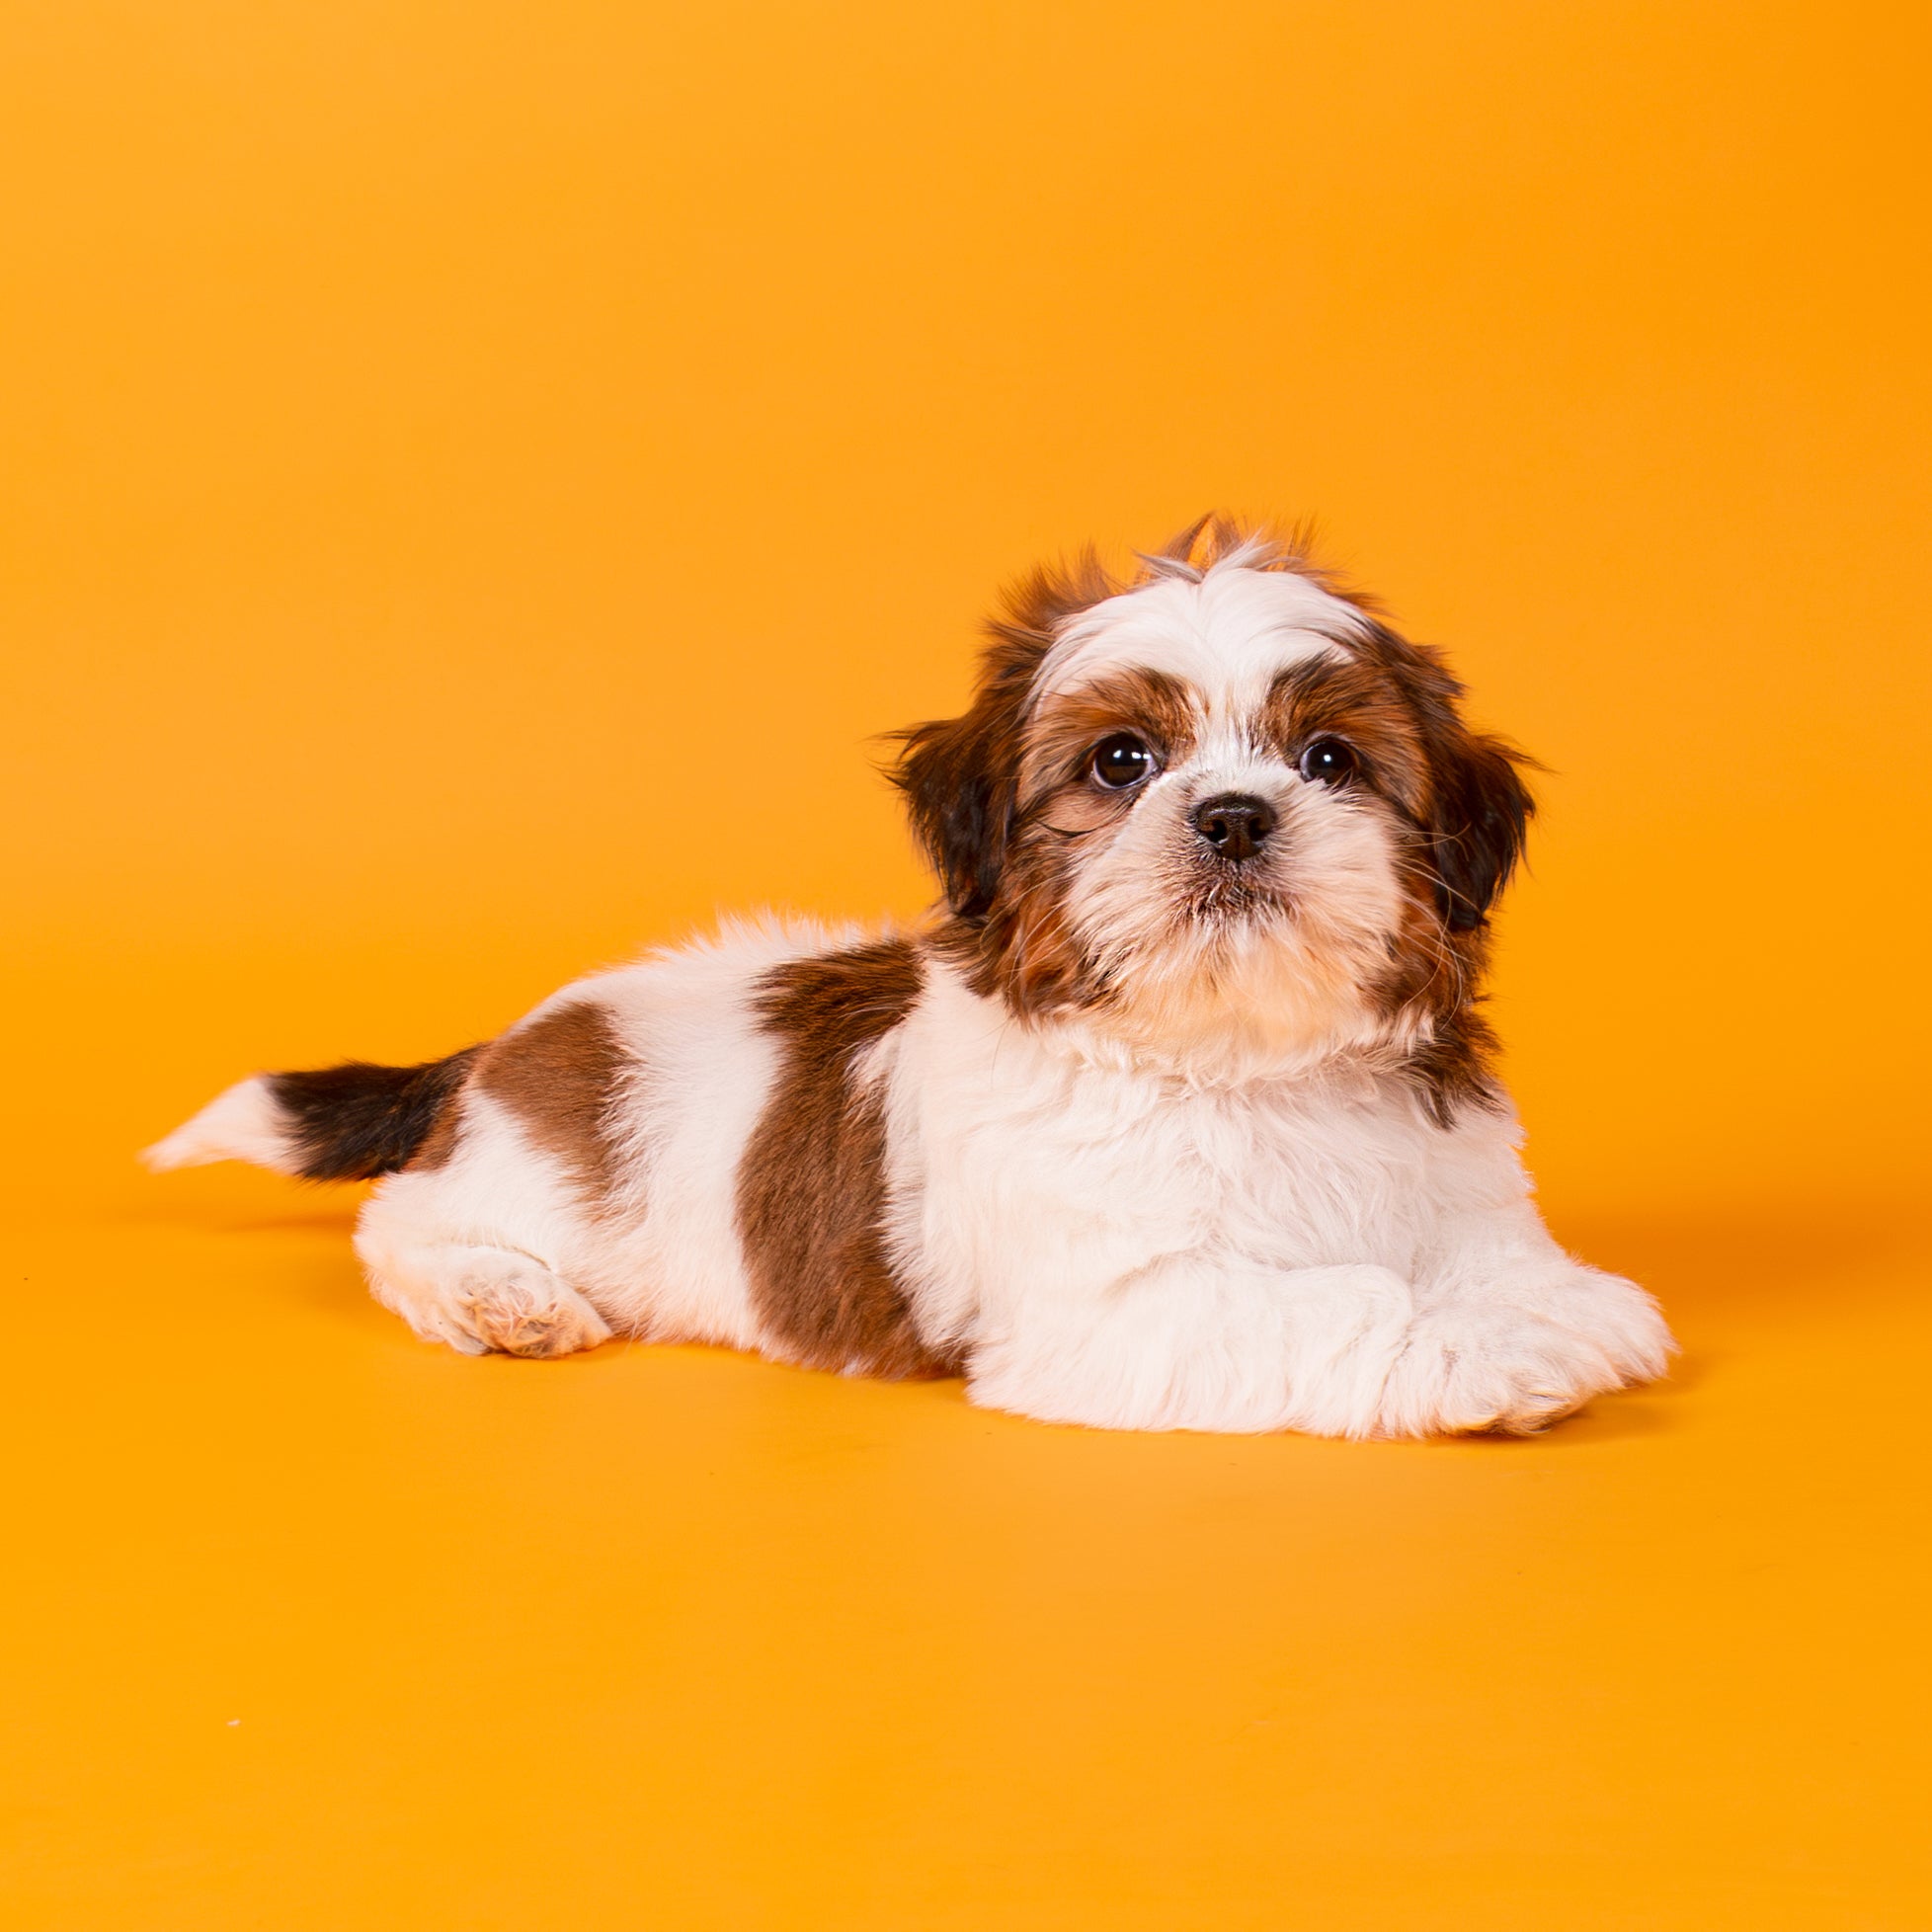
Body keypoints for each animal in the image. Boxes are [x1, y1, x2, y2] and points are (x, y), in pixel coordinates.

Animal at [146, 517, 1673, 1435]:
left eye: (1332, 760)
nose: (1235, 816)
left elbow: (1486, 1257)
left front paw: (1558, 1301)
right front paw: (1496, 1354)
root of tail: (513, 1047)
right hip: (523, 1191)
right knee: (396, 1222)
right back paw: (491, 1295)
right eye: (1122, 762)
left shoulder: (1450, 1185)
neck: (1240, 1060)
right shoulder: (1116, 1303)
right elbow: (1336, 1300)